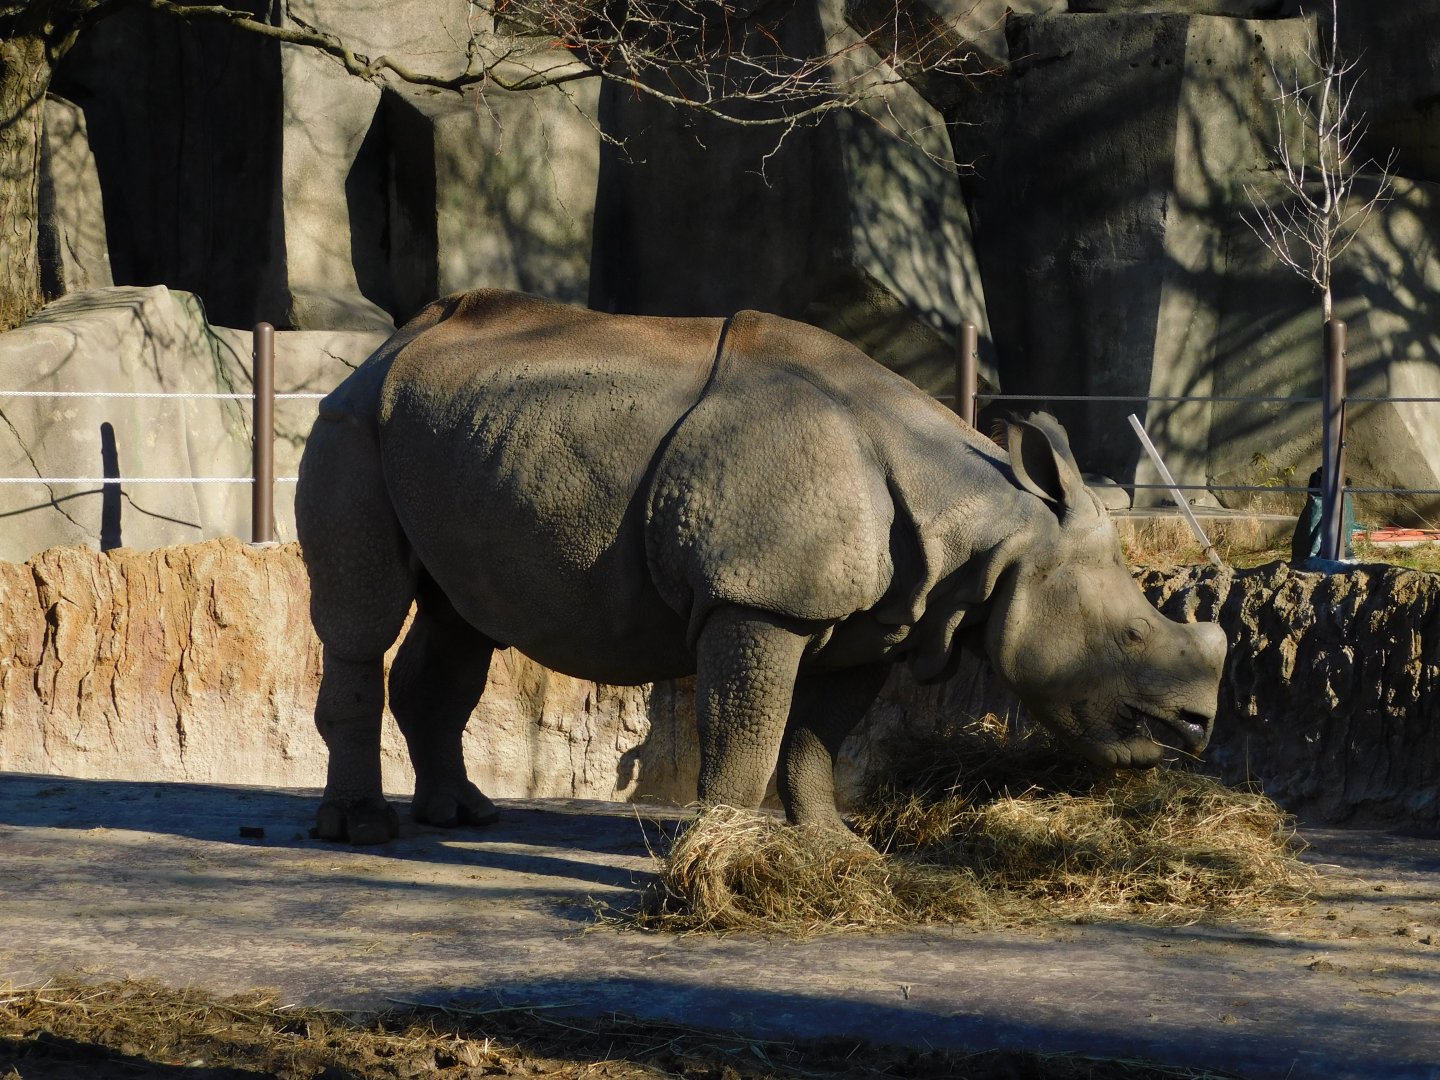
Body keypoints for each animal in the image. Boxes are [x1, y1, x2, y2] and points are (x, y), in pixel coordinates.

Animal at [296, 289, 1227, 844]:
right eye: (1132, 633)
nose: (1197, 726)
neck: (991, 529)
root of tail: (389, 344)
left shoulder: (878, 619)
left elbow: (817, 739)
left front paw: (834, 848)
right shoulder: (760, 600)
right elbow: (746, 732)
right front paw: (726, 857)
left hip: (449, 432)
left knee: (463, 618)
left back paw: (462, 819)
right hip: (352, 424)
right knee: (363, 621)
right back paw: (363, 830)